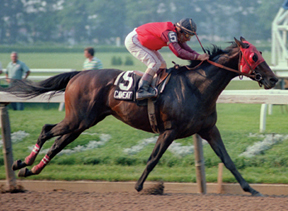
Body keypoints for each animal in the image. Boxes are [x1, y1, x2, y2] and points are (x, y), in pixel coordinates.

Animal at [6, 36, 276, 196]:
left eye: (262, 53)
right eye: (254, 56)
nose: (273, 79)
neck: (196, 87)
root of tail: (78, 75)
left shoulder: (208, 129)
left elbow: (228, 160)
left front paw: (251, 189)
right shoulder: (169, 131)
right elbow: (153, 158)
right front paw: (139, 186)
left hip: (83, 122)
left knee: (59, 143)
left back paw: (30, 170)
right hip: (78, 119)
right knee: (46, 130)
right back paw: (21, 163)